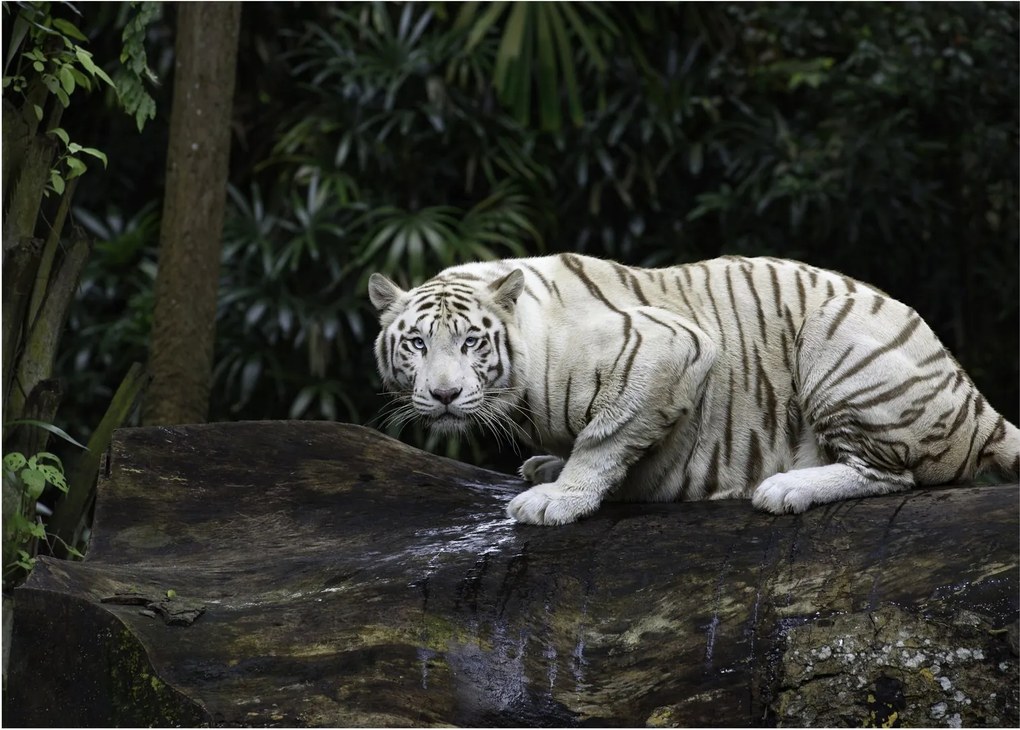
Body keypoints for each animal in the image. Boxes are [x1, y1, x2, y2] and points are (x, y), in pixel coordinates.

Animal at [368, 253, 1020, 526]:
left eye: (472, 343)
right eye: (417, 344)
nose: (445, 395)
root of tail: (976, 403)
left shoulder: (671, 346)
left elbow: (605, 437)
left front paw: (558, 499)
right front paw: (548, 469)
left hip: (837, 340)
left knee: (893, 475)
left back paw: (787, 487)